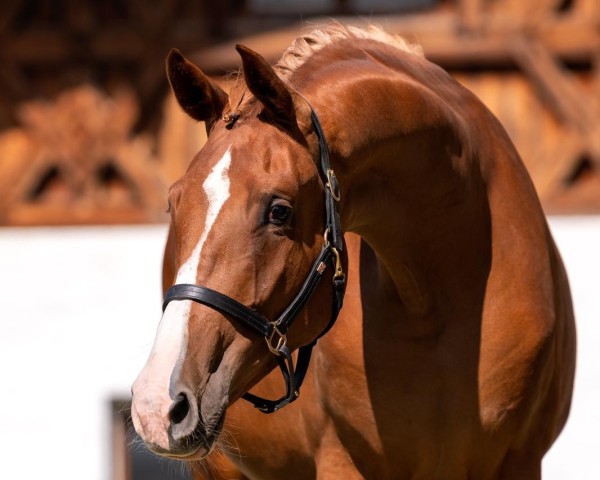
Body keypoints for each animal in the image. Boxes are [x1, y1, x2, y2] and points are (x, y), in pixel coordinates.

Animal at [132, 23, 576, 480]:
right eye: (174, 203)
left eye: (279, 210)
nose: (156, 404)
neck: (438, 301)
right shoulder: (342, 461)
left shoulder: (521, 461)